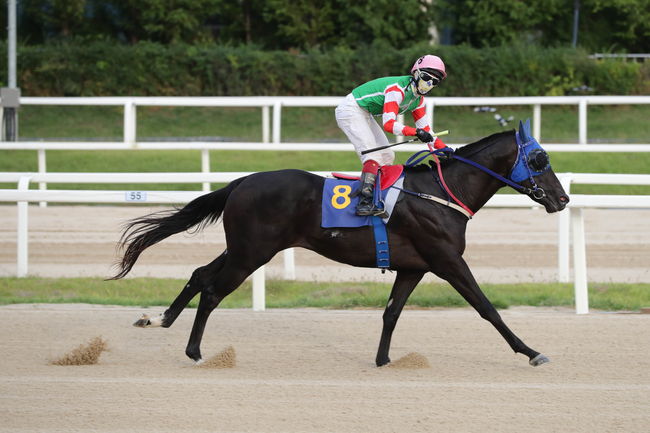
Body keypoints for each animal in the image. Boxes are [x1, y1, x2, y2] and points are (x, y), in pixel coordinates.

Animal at [111, 120, 568, 366]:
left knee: (199, 274)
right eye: (540, 159)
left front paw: (384, 360)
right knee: (211, 290)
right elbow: (487, 308)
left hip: (241, 247)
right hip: (251, 253)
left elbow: (391, 313)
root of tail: (241, 182)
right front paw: (531, 351)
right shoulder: (447, 260)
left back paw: (159, 319)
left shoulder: (414, 267)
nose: (562, 199)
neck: (441, 191)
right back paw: (194, 351)